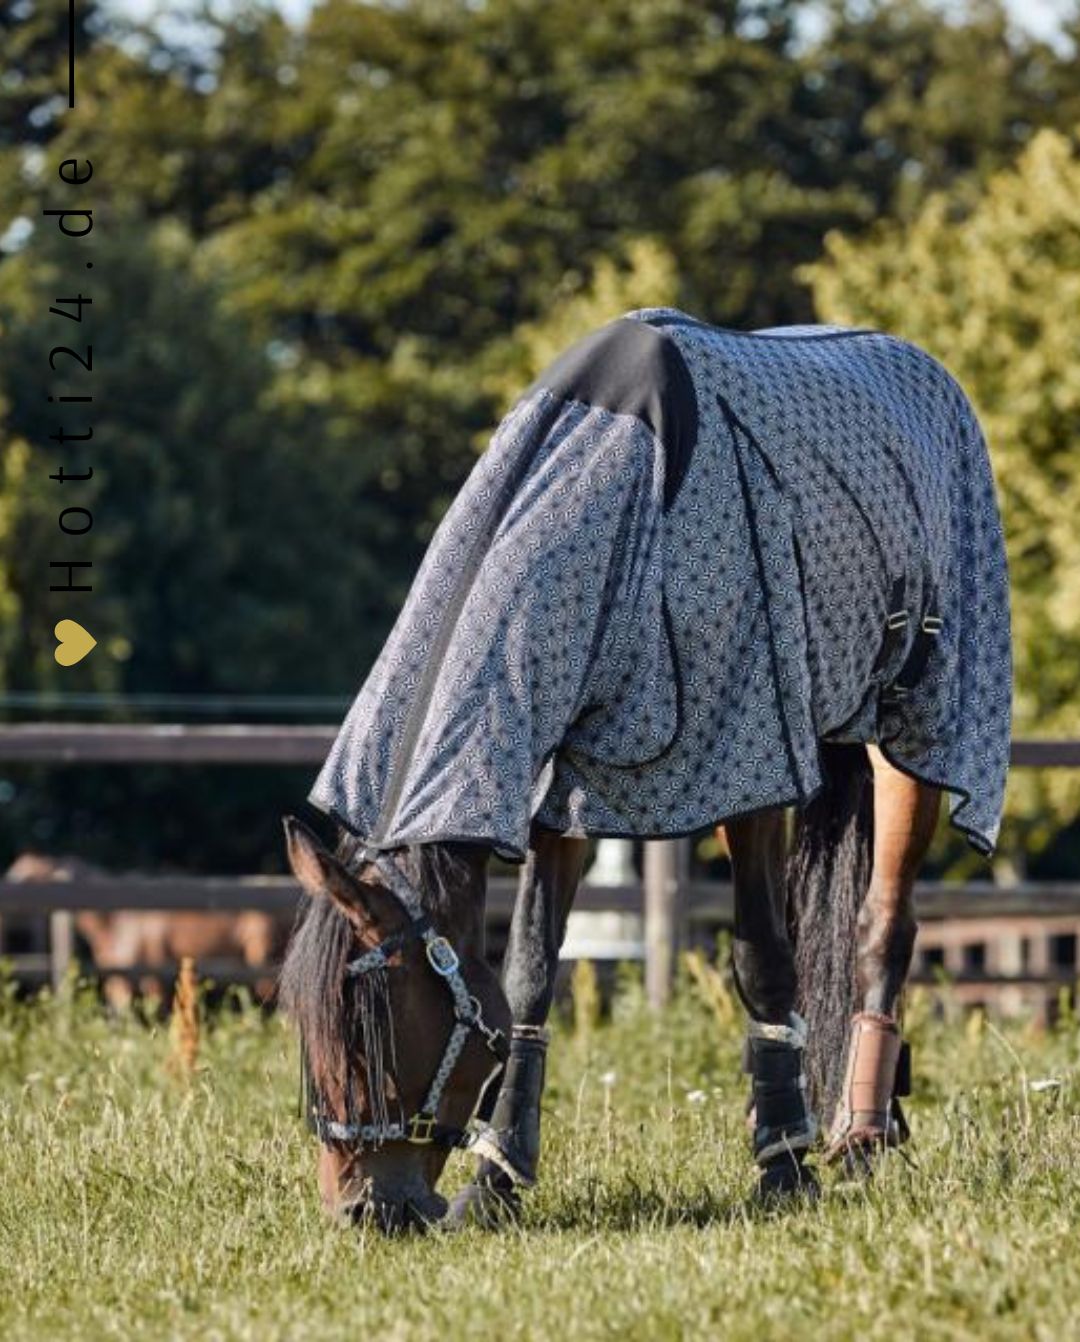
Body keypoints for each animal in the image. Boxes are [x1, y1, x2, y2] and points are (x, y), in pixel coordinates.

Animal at [280, 306, 1011, 1231]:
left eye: (370, 1030)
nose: (366, 1210)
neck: (618, 486)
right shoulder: (566, 778)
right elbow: (529, 968)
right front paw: (497, 1178)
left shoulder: (749, 762)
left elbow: (762, 957)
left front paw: (784, 1166)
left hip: (913, 726)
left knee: (884, 925)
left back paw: (858, 1136)